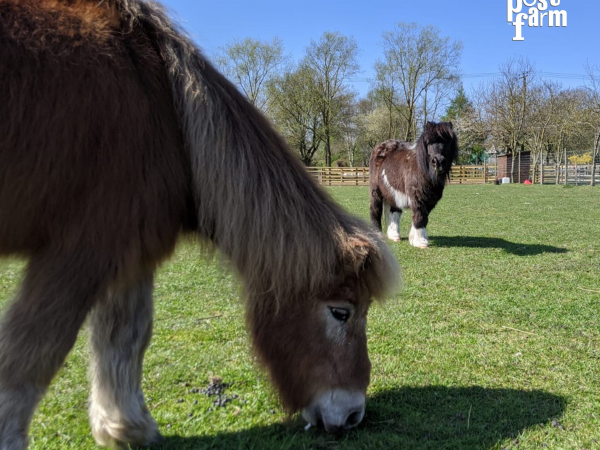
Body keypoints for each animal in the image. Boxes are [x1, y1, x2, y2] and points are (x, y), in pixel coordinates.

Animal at [1, 1, 404, 448]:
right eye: (340, 313)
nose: (353, 415)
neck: (170, 117)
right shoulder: (80, 253)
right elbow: (31, 355)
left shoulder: (129, 252)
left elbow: (126, 335)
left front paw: (127, 428)